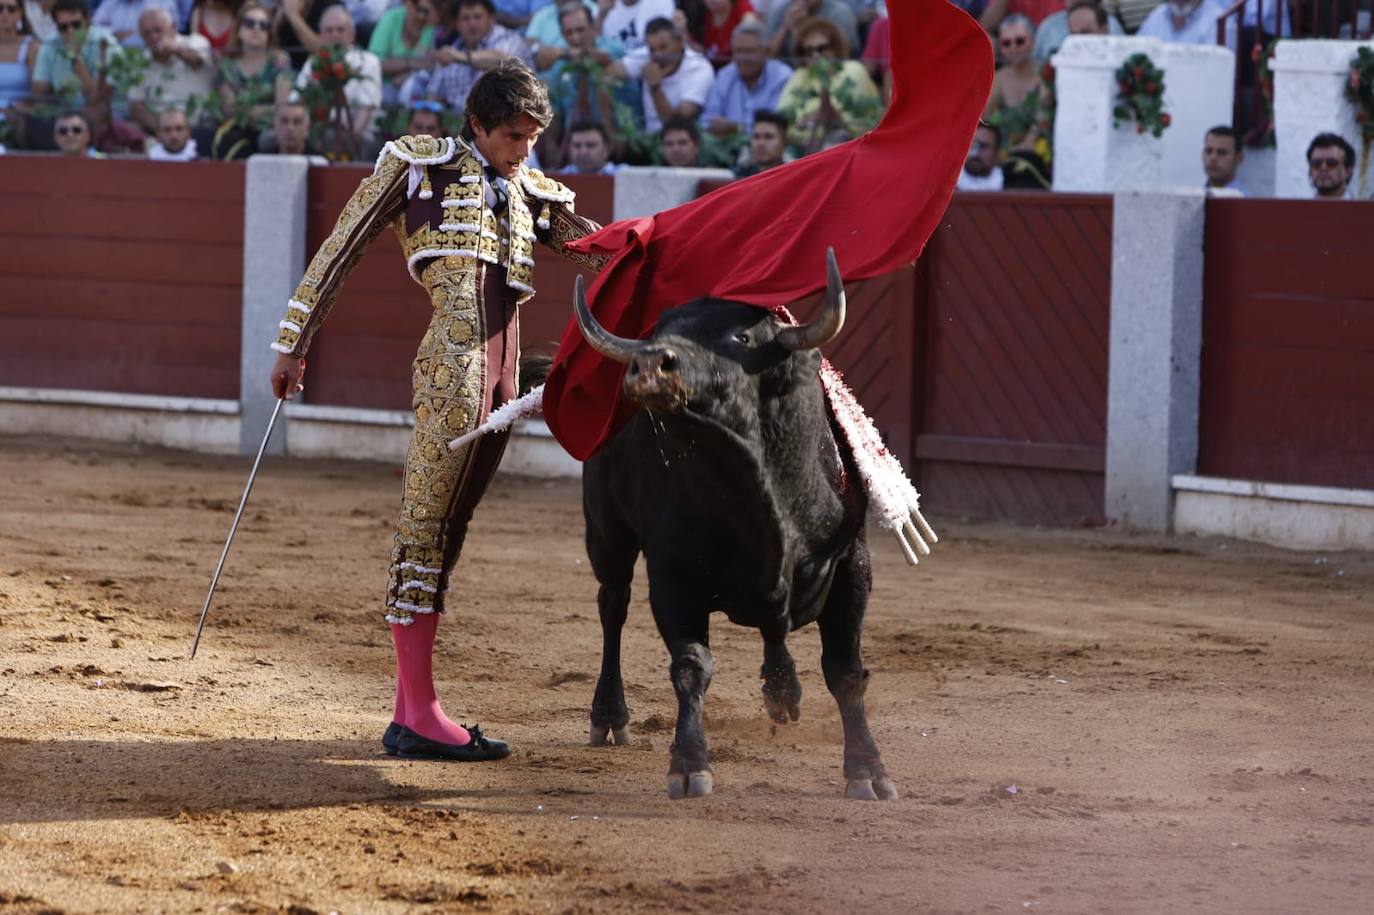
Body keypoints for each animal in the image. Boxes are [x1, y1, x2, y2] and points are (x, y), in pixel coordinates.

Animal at [571, 251, 901, 796]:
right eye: (658, 329)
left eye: (741, 337)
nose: (650, 364)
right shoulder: (673, 573)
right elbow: (690, 666)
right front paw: (689, 765)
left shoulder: (852, 564)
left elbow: (846, 672)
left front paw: (869, 771)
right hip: (607, 535)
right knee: (612, 607)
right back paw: (609, 716)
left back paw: (783, 691)